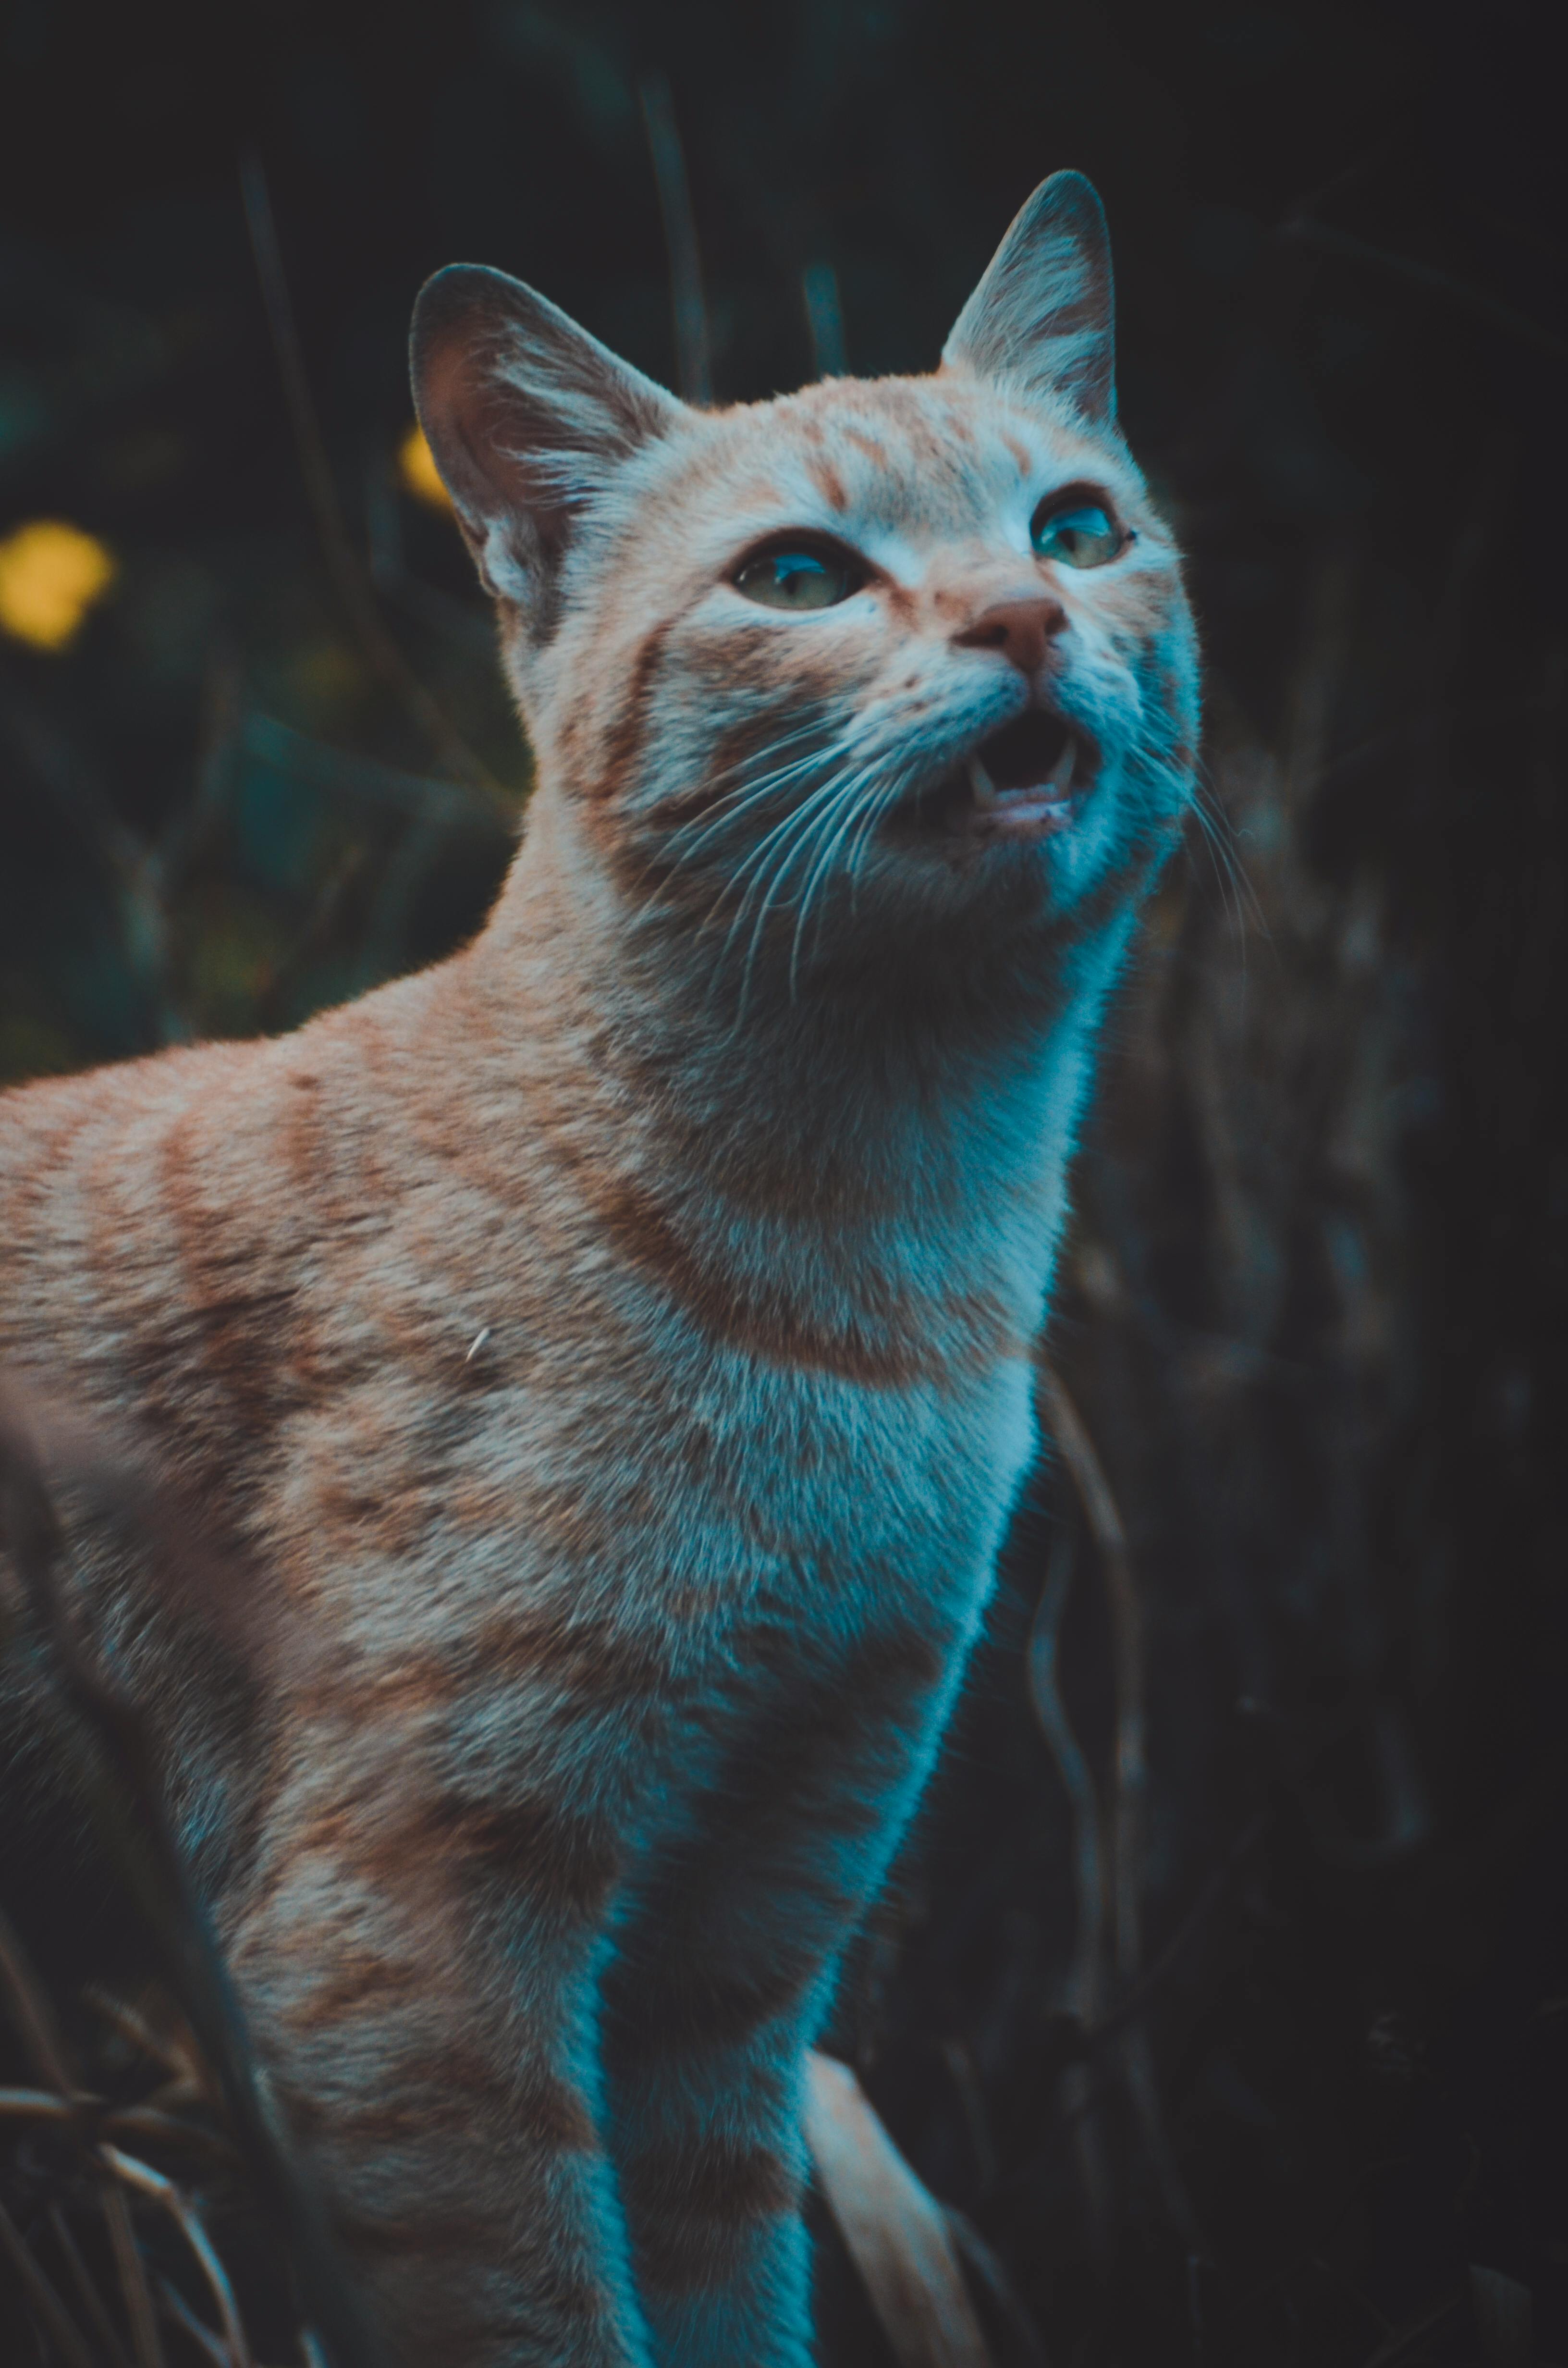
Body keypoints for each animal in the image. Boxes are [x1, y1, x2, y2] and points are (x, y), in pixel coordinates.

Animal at [0, 172, 1203, 2368]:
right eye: (801, 574)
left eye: (1075, 527)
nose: (1019, 619)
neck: (877, 1265)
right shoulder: (410, 1954)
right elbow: (541, 2305)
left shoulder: (743, 1957)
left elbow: (726, 2290)